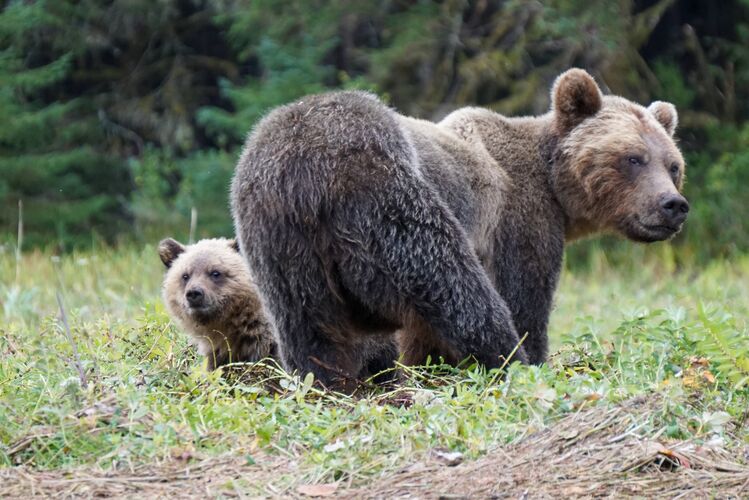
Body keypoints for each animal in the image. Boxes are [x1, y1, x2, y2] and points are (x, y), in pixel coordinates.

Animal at [229, 68, 688, 390]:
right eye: (632, 158)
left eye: (673, 165)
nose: (673, 206)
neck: (555, 189)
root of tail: (305, 168)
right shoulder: (521, 221)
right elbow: (524, 301)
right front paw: (533, 357)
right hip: (389, 193)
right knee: (456, 288)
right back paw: (505, 362)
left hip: (281, 244)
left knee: (312, 329)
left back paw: (329, 382)